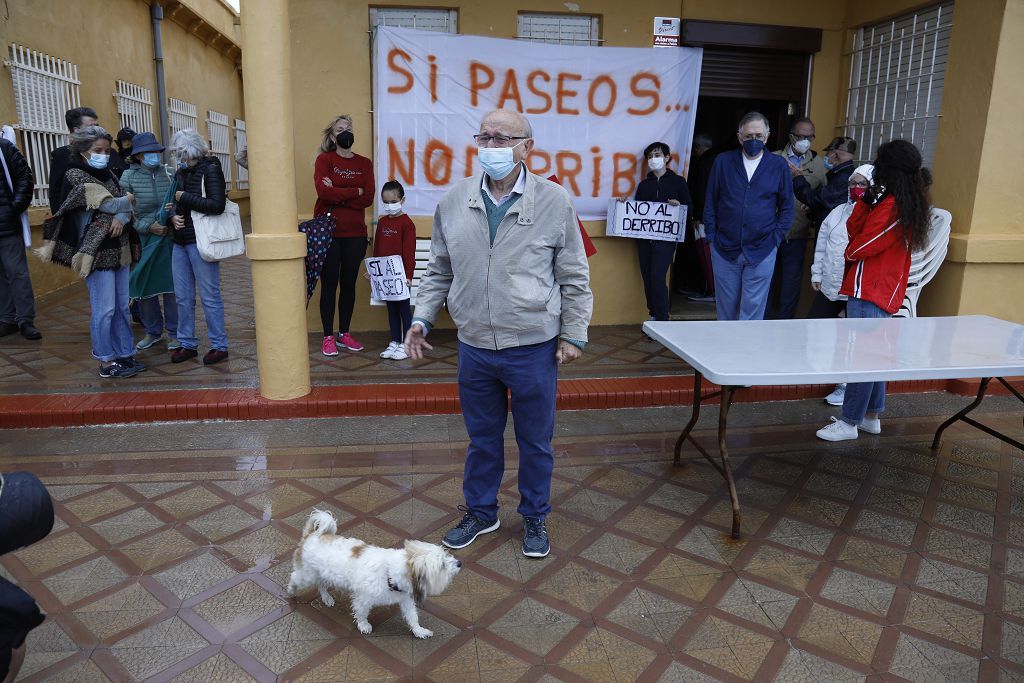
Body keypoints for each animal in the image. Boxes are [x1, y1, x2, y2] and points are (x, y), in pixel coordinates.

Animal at [284, 509, 460, 638]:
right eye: (442, 565)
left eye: (446, 556)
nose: (459, 563)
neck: (389, 574)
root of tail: (312, 535)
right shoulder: (363, 599)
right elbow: (361, 613)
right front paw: (364, 625)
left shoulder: (405, 600)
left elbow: (412, 617)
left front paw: (419, 631)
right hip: (307, 575)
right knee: (295, 578)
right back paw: (290, 592)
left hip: (323, 574)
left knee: (321, 585)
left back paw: (327, 598)